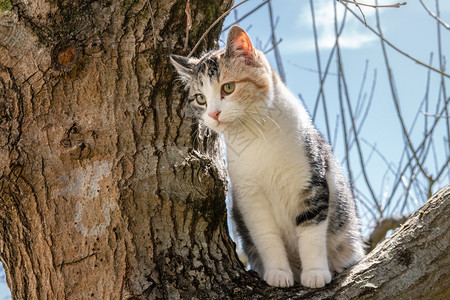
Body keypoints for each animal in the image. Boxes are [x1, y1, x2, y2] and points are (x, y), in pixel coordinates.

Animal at [171, 25, 364, 288]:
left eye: (228, 88)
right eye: (200, 98)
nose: (213, 114)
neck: (257, 138)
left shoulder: (311, 182)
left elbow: (311, 233)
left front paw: (314, 273)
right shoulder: (250, 197)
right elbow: (266, 236)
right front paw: (278, 273)